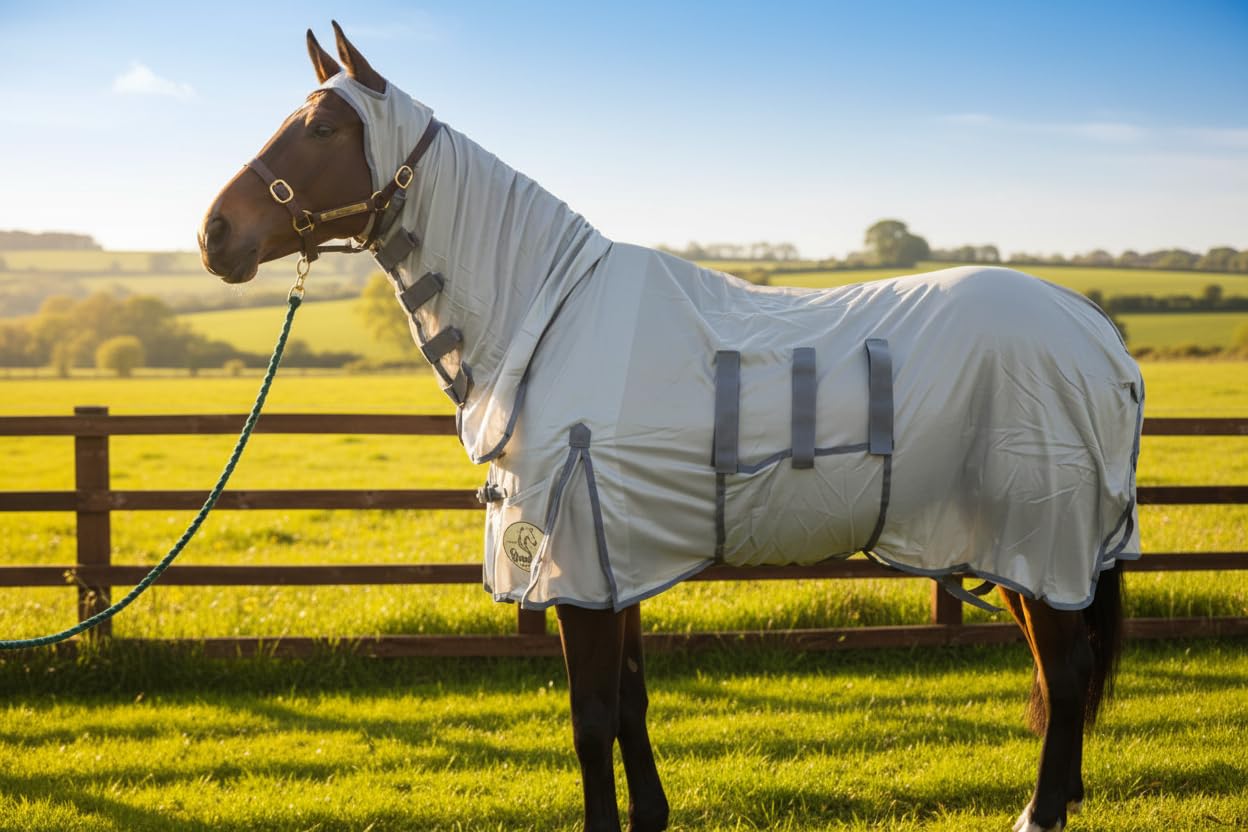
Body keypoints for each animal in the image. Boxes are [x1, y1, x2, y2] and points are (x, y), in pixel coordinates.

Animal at [199, 23, 1142, 832]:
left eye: (323, 128)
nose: (213, 234)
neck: (547, 317)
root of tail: (1094, 329)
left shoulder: (574, 563)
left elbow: (590, 715)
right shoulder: (616, 560)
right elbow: (630, 702)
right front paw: (650, 815)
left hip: (1038, 536)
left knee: (1065, 669)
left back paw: (1040, 812)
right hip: (1018, 549)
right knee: (1059, 670)